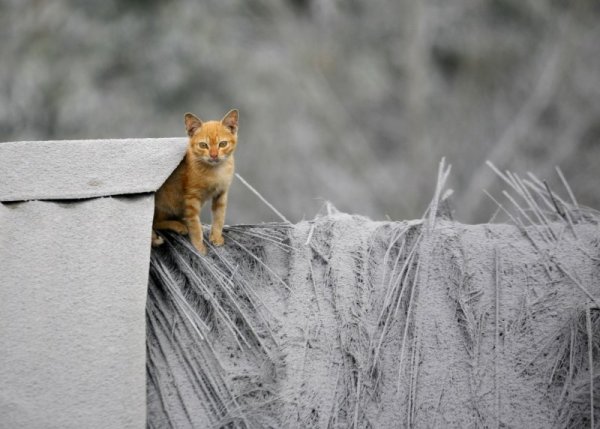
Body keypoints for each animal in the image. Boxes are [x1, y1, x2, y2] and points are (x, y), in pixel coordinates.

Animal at [152, 108, 239, 254]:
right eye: (203, 145)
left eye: (222, 144)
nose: (214, 155)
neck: (214, 171)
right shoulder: (191, 198)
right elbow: (195, 224)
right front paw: (199, 247)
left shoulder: (221, 194)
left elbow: (219, 217)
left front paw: (216, 237)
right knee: (155, 222)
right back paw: (178, 225)